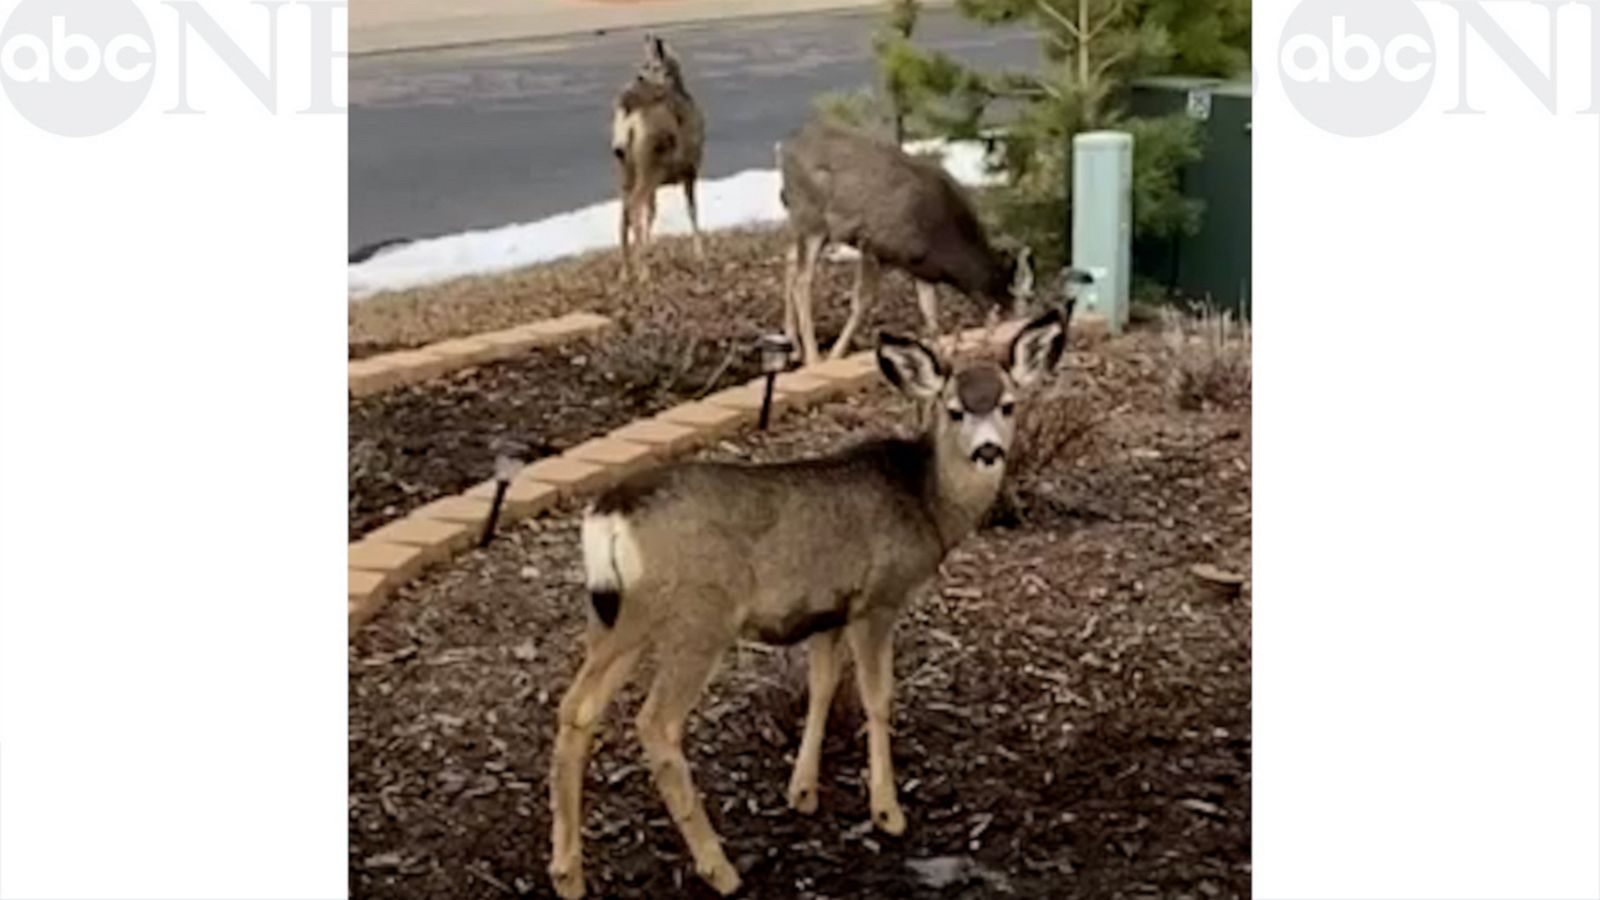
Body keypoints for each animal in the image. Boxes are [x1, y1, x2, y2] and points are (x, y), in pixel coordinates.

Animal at [547, 304, 1075, 890]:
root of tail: (609, 511)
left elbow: (821, 688)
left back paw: (567, 873)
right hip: (699, 616)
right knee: (656, 723)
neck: (926, 501)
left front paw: (802, 791)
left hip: (617, 616)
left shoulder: (827, 611)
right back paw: (719, 868)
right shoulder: (877, 599)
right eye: (955, 410)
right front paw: (887, 811)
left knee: (577, 709)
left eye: (1008, 404)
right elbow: (877, 697)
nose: (988, 450)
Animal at [611, 35, 707, 280]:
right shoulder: (690, 168)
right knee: (634, 204)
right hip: (650, 161)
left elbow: (652, 213)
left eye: (650, 65)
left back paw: (626, 271)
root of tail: (629, 111)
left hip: (626, 165)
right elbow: (692, 208)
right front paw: (700, 254)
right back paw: (642, 271)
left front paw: (649, 251)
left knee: (624, 210)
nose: (639, 76)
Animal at [777, 118, 1036, 365]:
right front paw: (835, 355)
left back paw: (793, 345)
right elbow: (862, 303)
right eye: (1025, 305)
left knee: (790, 258)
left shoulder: (923, 270)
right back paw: (813, 357)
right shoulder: (873, 244)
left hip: (804, 221)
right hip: (813, 219)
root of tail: (786, 148)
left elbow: (930, 314)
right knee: (802, 281)